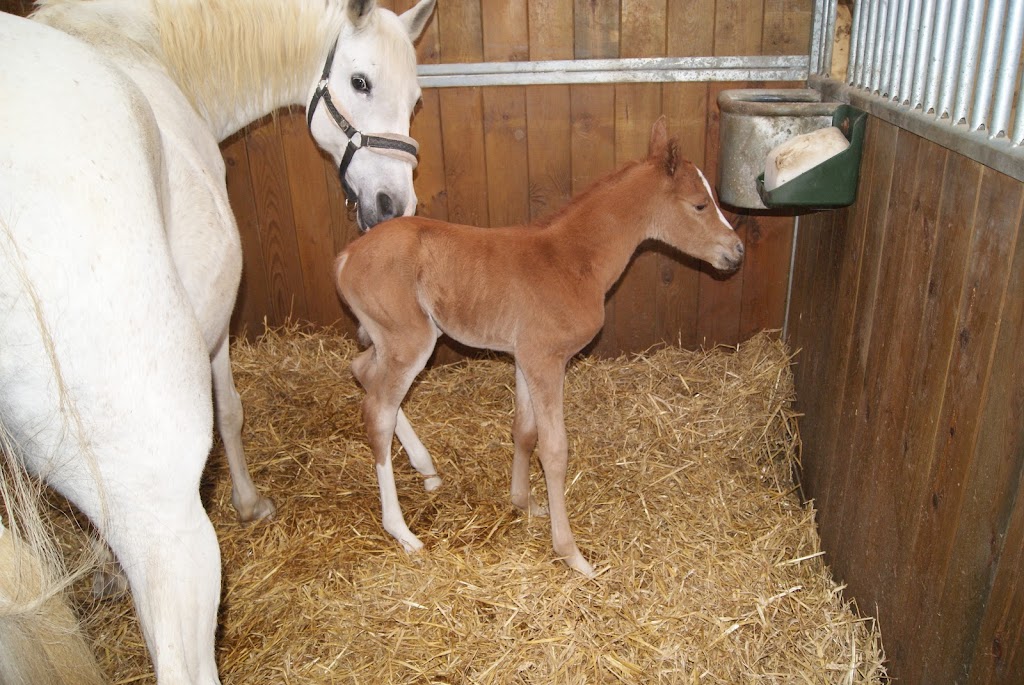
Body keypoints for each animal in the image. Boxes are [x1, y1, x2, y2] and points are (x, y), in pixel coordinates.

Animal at [0, 1, 434, 679]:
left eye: (415, 99)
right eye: (361, 82)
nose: (393, 204)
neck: (137, 42)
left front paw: (103, 570)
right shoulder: (216, 326)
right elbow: (230, 410)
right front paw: (250, 503)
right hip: (163, 504)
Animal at [335, 117, 745, 577]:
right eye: (699, 205)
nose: (737, 251)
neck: (573, 260)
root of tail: (347, 256)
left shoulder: (525, 357)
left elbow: (524, 431)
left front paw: (524, 502)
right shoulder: (547, 360)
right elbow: (555, 449)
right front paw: (572, 553)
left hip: (393, 338)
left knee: (362, 371)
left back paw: (427, 470)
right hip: (410, 341)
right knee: (378, 412)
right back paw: (402, 531)